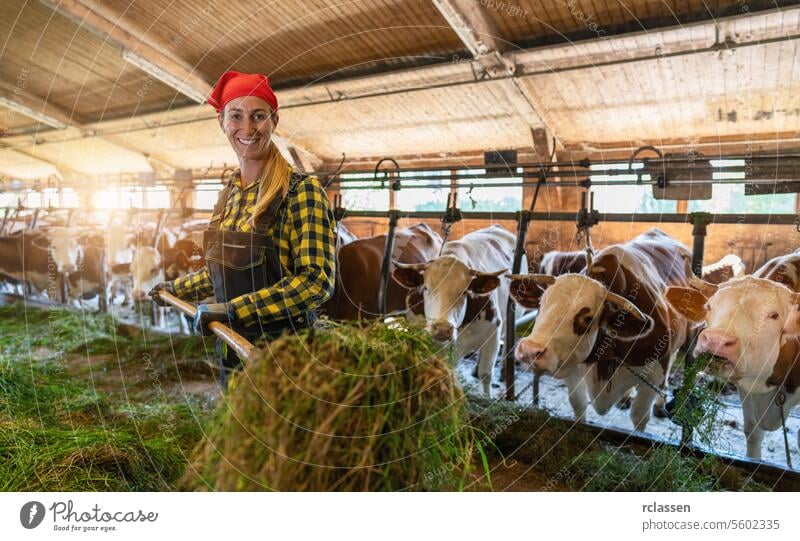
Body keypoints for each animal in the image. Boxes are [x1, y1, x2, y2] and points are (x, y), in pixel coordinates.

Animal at [392, 225, 520, 396]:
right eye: (425, 288)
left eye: (464, 292)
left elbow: (486, 374)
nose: (442, 328)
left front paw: (487, 397)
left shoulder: (493, 334)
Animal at [512, 229, 692, 430]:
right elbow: (578, 403)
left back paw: (660, 405)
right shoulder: (572, 364)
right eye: (541, 304)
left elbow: (639, 415)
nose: (529, 350)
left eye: (588, 319)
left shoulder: (654, 373)